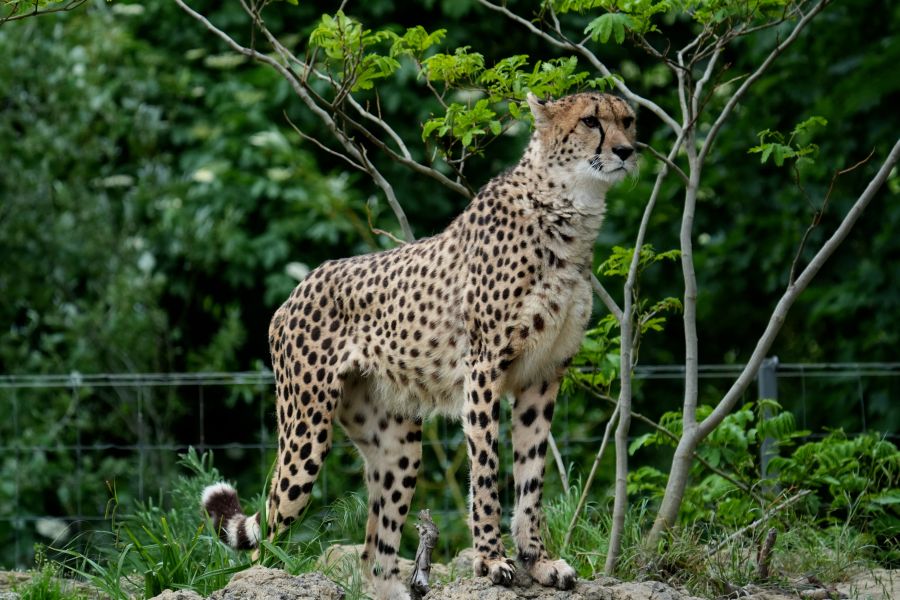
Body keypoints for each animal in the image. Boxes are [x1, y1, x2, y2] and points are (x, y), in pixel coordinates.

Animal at [201, 91, 638, 600]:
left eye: (628, 120)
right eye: (590, 121)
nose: (626, 150)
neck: (568, 207)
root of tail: (298, 287)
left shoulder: (544, 376)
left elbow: (532, 478)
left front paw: (540, 562)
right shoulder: (484, 369)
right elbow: (486, 471)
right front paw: (492, 560)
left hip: (396, 447)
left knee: (375, 552)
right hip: (305, 432)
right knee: (267, 534)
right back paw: (262, 578)